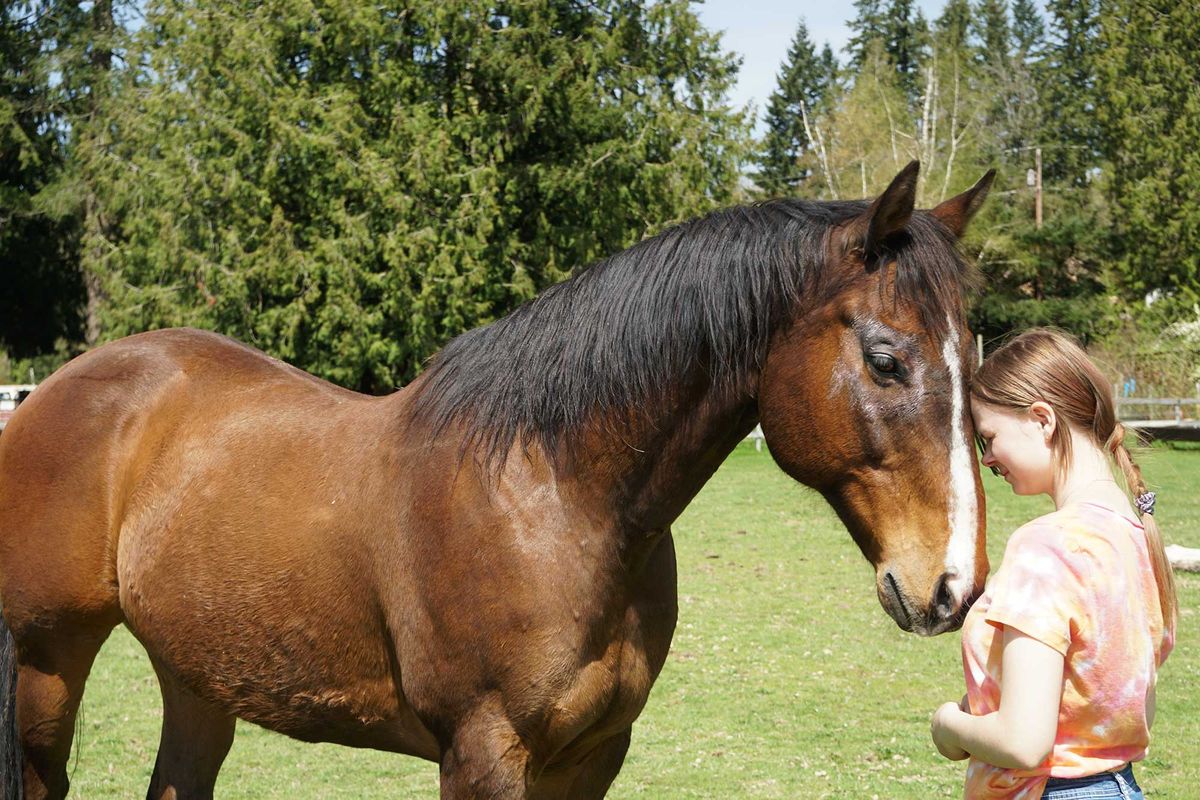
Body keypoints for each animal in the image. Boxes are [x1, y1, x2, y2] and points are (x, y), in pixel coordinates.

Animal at [0, 161, 993, 799]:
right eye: (886, 359)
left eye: (973, 354)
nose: (954, 586)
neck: (556, 495)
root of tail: (56, 389)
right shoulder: (484, 753)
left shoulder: (592, 756)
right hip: (48, 666)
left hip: (197, 677)